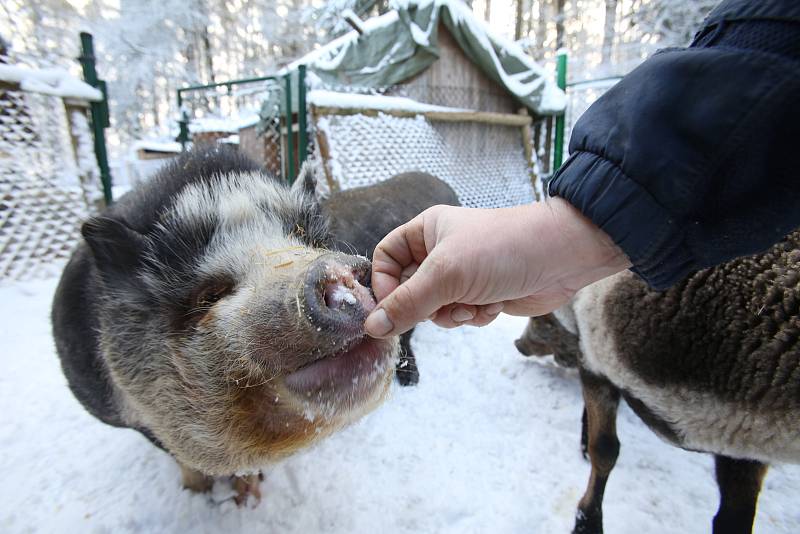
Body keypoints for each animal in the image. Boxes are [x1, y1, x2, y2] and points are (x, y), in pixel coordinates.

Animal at [512, 232, 800, 534]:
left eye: (543, 320)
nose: (520, 344)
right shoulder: (595, 358)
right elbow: (604, 450)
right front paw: (586, 523)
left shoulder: (744, 443)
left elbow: (735, 517)